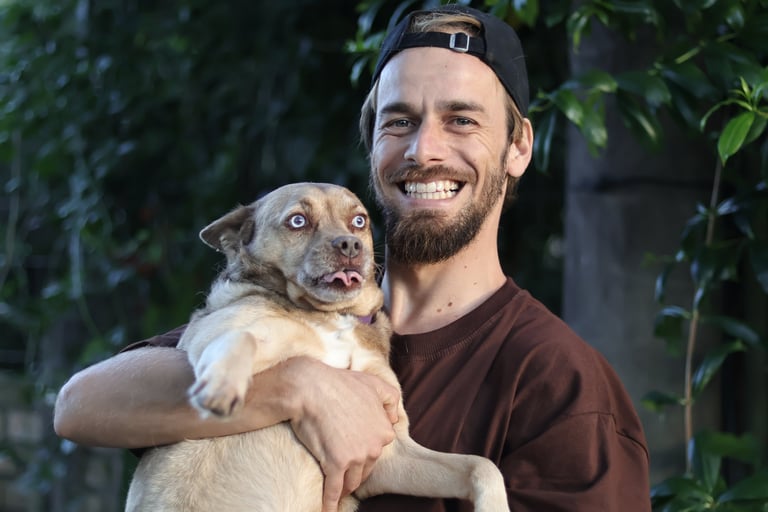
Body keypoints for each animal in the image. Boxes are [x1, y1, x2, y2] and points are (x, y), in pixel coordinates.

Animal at [125, 182, 509, 511]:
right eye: (298, 221)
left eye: (359, 221)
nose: (350, 245)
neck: (331, 316)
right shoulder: (212, 334)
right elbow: (242, 337)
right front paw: (223, 384)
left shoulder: (388, 455)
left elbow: (482, 466)